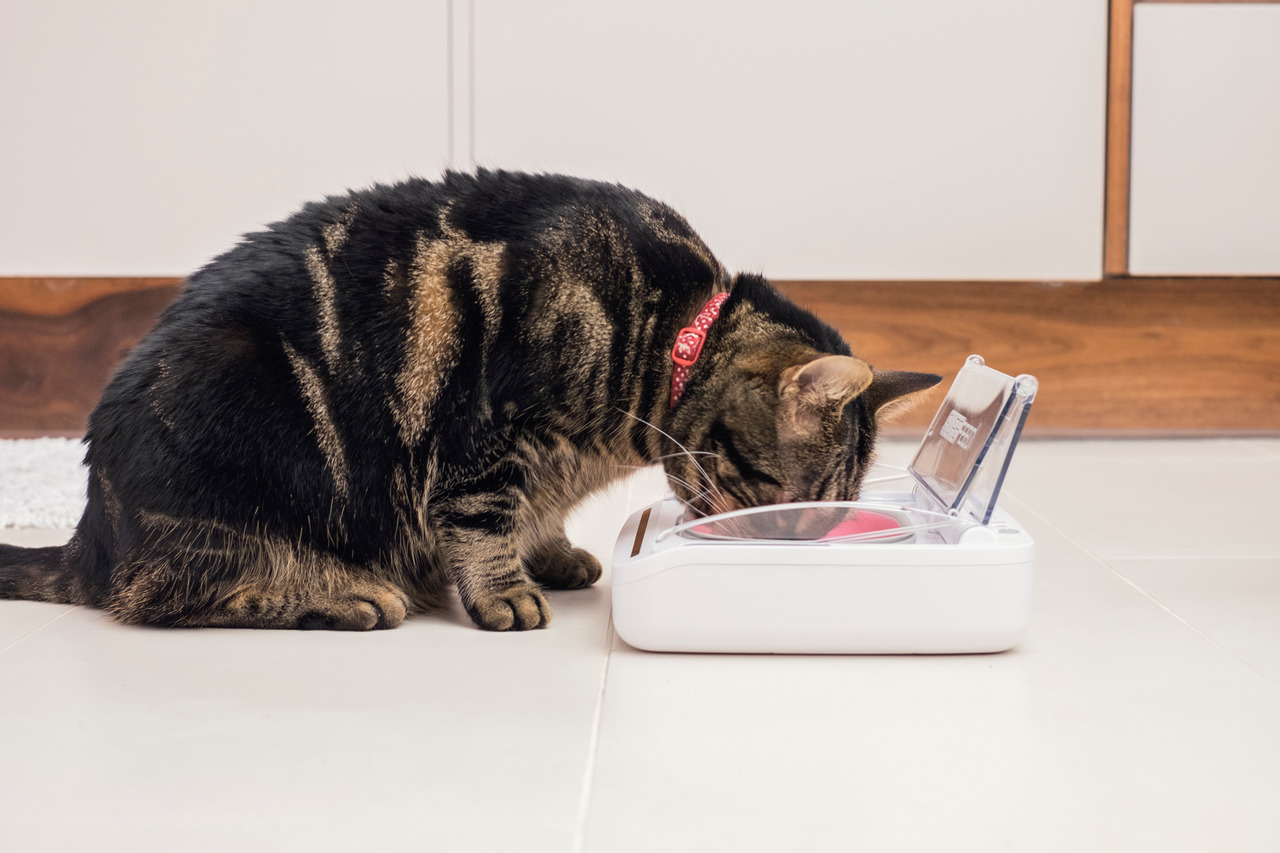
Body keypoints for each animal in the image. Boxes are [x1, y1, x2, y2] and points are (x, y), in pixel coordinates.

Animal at [0, 169, 942, 627]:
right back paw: (344, 593)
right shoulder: (484, 431)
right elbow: (483, 521)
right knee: (164, 596)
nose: (789, 548)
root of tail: (91, 533)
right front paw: (504, 591)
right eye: (783, 502)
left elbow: (537, 513)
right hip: (231, 442)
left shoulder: (544, 461)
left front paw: (551, 554)